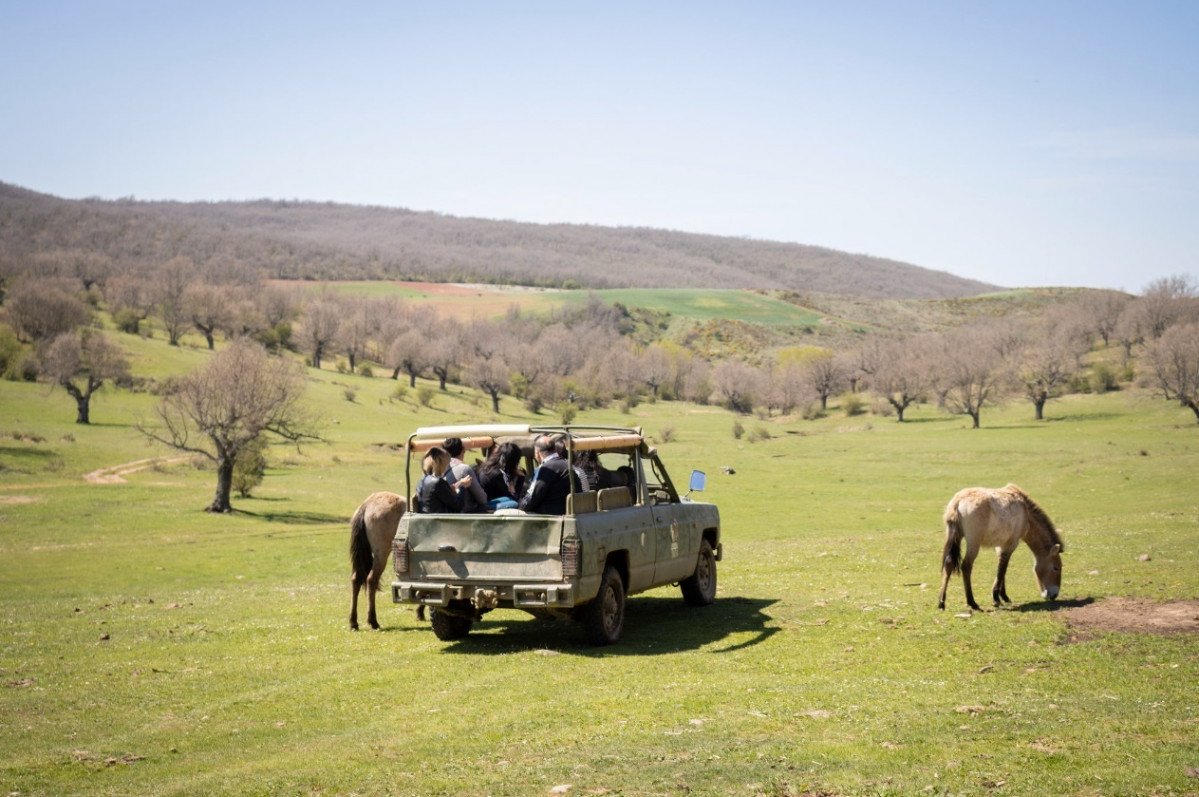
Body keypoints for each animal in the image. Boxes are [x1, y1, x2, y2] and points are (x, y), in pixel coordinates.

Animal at [347, 491, 407, 628]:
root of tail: (366, 504)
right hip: (382, 555)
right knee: (371, 579)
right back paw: (373, 621)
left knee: (356, 579)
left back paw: (354, 622)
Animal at [935, 481, 1069, 611]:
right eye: (1056, 568)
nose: (1054, 595)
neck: (1026, 513)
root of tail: (958, 501)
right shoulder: (1011, 544)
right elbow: (1002, 569)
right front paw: (996, 599)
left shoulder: (1001, 545)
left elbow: (1002, 568)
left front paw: (1003, 596)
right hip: (973, 543)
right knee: (966, 567)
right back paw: (972, 603)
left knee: (948, 564)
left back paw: (941, 602)